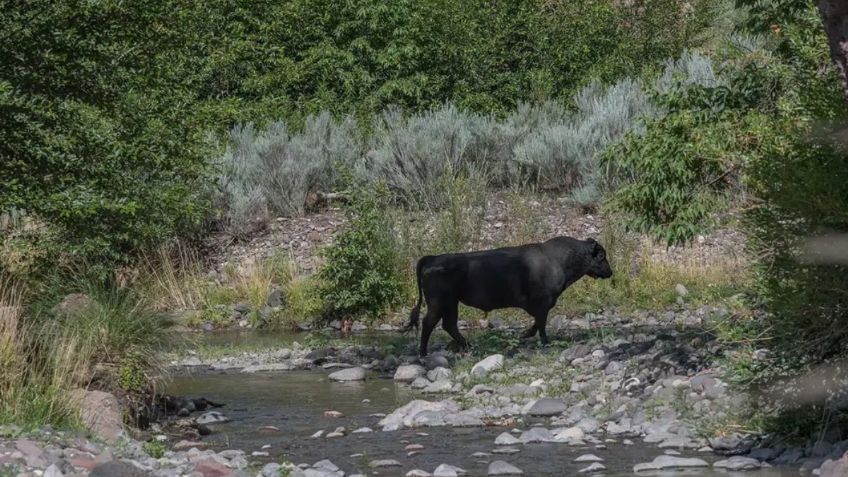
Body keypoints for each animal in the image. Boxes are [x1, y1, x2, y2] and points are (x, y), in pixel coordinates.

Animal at [404, 236, 608, 356]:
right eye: (601, 256)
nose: (610, 272)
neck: (558, 259)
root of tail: (432, 258)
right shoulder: (543, 303)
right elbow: (541, 323)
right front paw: (544, 341)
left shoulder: (541, 306)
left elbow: (537, 322)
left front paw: (526, 334)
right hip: (439, 303)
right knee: (430, 322)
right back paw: (423, 353)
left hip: (451, 304)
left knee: (449, 324)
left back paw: (468, 346)